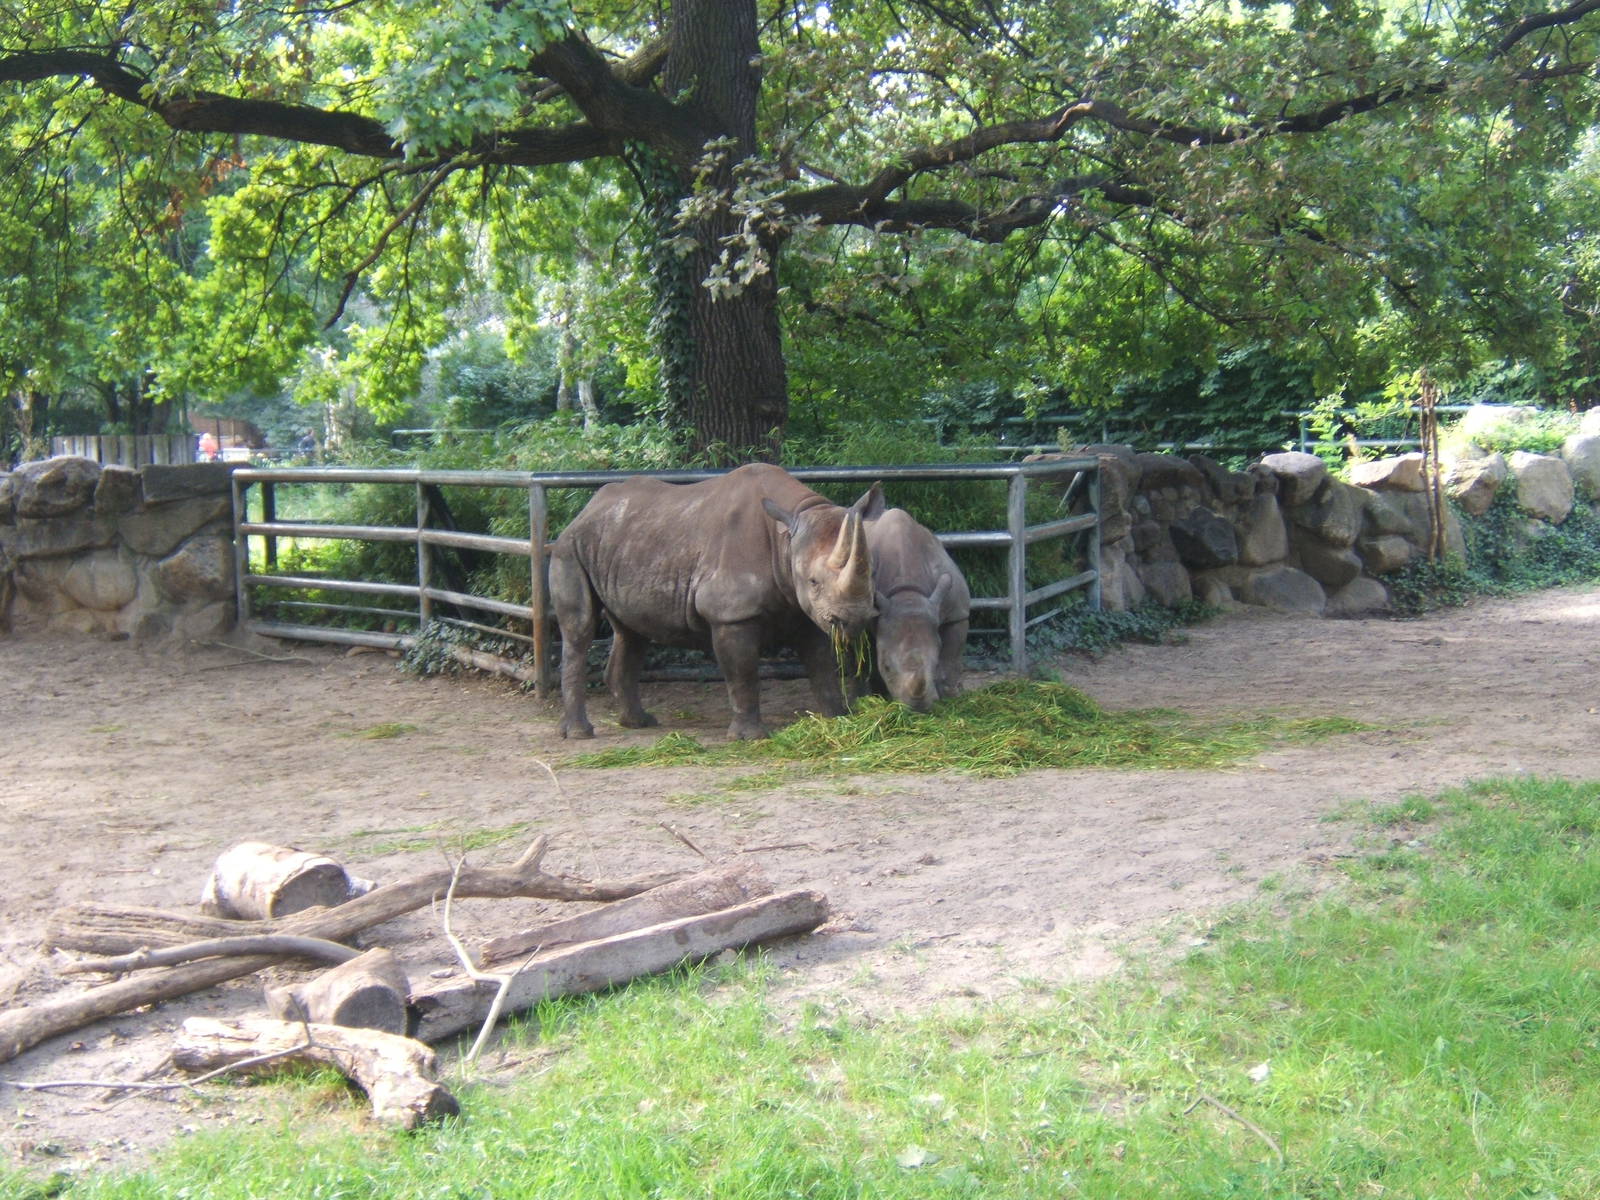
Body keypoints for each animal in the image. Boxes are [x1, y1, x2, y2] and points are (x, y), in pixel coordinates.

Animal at [549, 463, 880, 741]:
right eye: (813, 581)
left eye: (871, 575)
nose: (855, 619)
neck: (786, 538)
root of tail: (585, 511)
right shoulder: (730, 614)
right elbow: (743, 673)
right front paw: (749, 737)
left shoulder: (805, 611)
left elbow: (822, 665)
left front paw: (837, 718)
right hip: (569, 547)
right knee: (580, 628)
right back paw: (580, 733)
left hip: (626, 543)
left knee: (632, 632)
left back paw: (639, 723)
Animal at [861, 493, 971, 712]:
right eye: (886, 666)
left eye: (935, 664)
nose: (918, 708)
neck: (907, 594)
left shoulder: (957, 611)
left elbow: (952, 654)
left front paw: (951, 695)